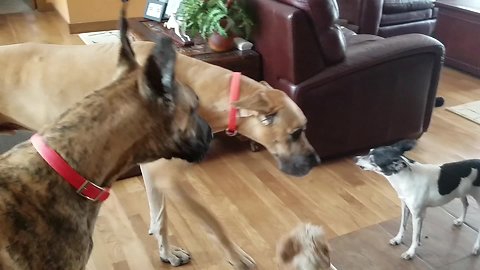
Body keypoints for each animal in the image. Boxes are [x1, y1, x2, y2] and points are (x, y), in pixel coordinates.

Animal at [352, 139, 480, 260]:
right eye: (369, 151)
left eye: (372, 160)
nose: (354, 158)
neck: (405, 178)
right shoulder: (405, 207)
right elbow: (402, 225)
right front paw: (398, 239)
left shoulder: (418, 216)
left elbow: (415, 236)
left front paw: (410, 253)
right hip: (461, 192)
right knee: (466, 204)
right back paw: (460, 221)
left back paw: (476, 247)